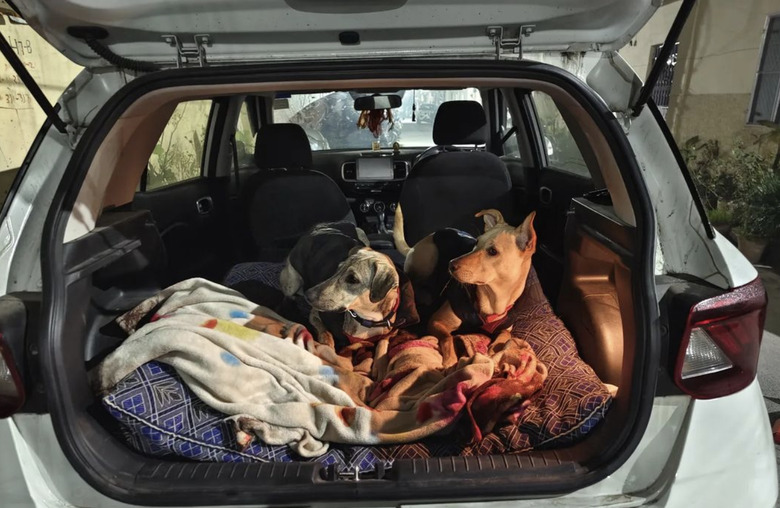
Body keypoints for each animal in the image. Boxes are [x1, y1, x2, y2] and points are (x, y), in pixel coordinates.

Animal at [278, 220, 414, 352]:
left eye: (352, 279)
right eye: (337, 270)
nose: (308, 295)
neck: (367, 318)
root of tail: (319, 226)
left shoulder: (385, 336)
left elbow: (381, 348)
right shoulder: (315, 314)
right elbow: (325, 333)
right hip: (292, 282)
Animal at [396, 206, 536, 370]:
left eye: (493, 251)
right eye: (476, 242)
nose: (450, 265)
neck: (492, 298)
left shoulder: (505, 327)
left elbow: (505, 337)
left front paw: (493, 352)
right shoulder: (436, 321)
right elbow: (447, 337)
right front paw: (450, 362)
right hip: (427, 259)